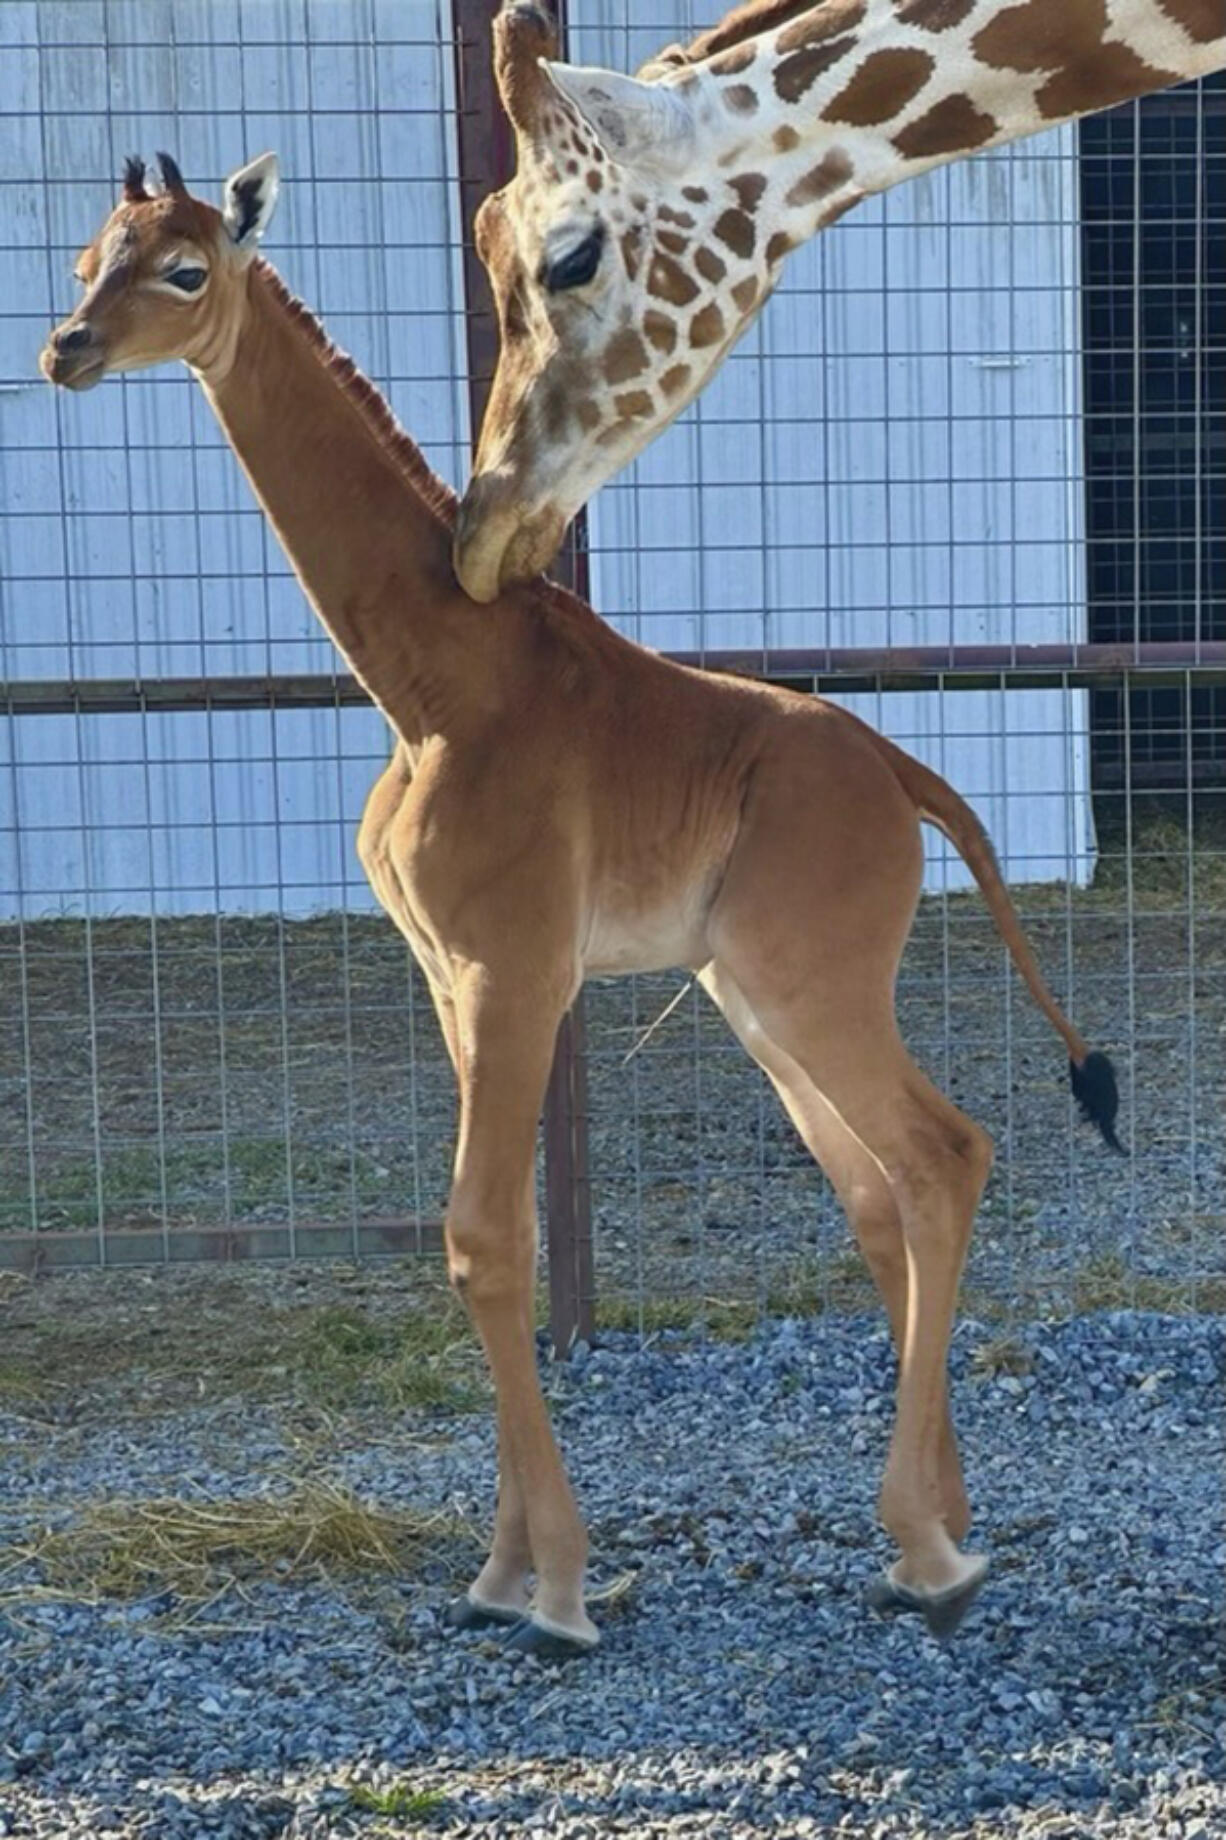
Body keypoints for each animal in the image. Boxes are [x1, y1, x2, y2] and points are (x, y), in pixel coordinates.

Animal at [45, 154, 1119, 1656]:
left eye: (185, 269)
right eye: (89, 255)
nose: (66, 349)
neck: (433, 683)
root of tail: (905, 777)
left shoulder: (515, 970)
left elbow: (484, 1239)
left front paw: (551, 1586)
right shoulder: (451, 977)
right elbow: (492, 1242)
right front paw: (502, 1570)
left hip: (810, 981)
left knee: (940, 1154)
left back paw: (927, 1550)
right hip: (752, 997)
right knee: (876, 1186)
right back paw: (944, 1525)